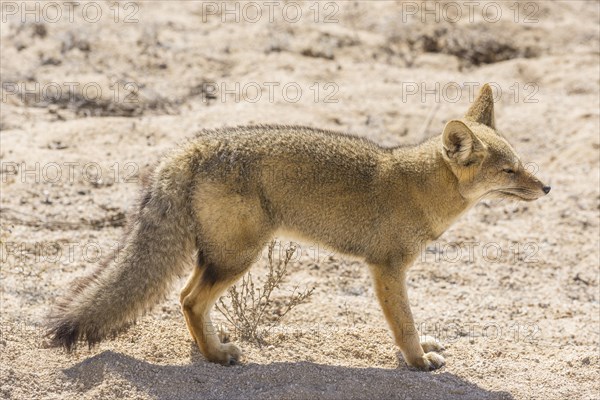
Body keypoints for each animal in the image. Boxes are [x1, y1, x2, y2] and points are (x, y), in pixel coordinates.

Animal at [49, 83, 552, 370]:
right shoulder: (386, 268)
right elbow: (404, 324)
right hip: (239, 257)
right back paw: (216, 357)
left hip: (220, 256)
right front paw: (417, 361)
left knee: (186, 297)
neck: (420, 187)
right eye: (509, 171)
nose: (546, 186)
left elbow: (409, 321)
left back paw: (210, 346)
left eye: (521, 164)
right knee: (189, 300)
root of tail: (191, 147)